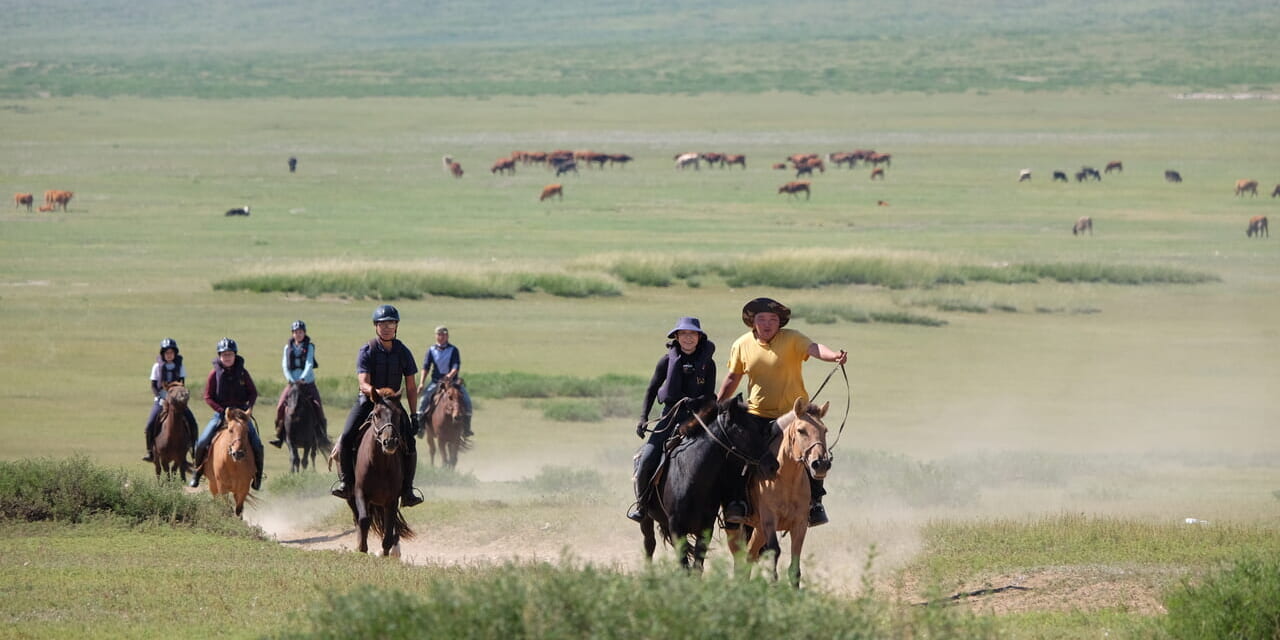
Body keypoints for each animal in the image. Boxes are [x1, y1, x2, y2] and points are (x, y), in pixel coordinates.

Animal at [348, 386, 412, 558]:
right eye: (376, 414)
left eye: (398, 414)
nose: (389, 442)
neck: (379, 465)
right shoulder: (360, 492)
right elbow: (364, 520)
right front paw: (362, 548)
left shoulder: (392, 499)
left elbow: (389, 528)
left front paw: (386, 551)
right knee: (358, 518)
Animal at [640, 396, 778, 573]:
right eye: (743, 432)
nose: (773, 465)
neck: (692, 478)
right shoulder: (676, 528)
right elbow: (684, 566)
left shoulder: (705, 529)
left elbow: (697, 566)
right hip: (646, 519)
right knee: (649, 544)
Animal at [727, 396, 834, 586]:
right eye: (801, 430)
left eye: (825, 430)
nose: (820, 464)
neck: (786, 480)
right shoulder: (769, 519)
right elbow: (774, 552)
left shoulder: (799, 524)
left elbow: (795, 567)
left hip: (758, 528)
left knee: (749, 555)